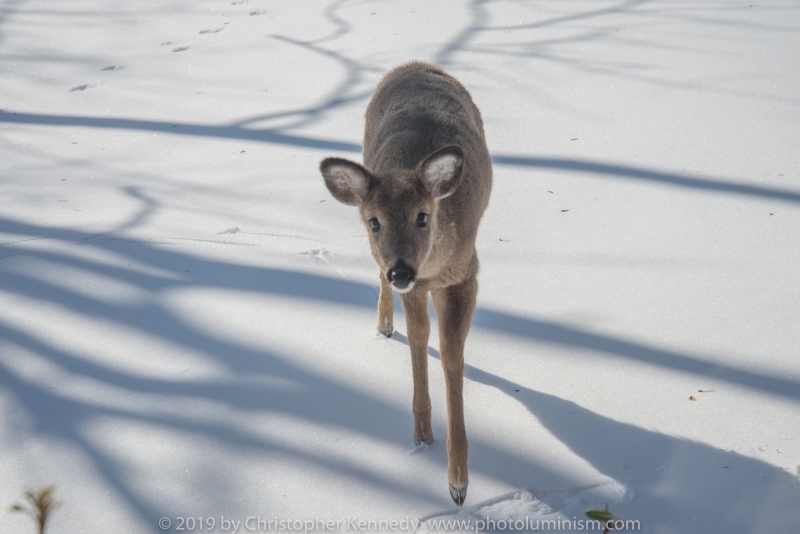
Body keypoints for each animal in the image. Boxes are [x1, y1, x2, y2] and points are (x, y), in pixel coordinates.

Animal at [318, 61, 490, 506]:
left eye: (422, 216)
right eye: (375, 220)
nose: (402, 271)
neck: (434, 268)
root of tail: (411, 65)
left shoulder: (467, 273)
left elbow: (451, 353)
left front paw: (459, 482)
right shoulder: (417, 285)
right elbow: (418, 337)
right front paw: (423, 435)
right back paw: (383, 324)